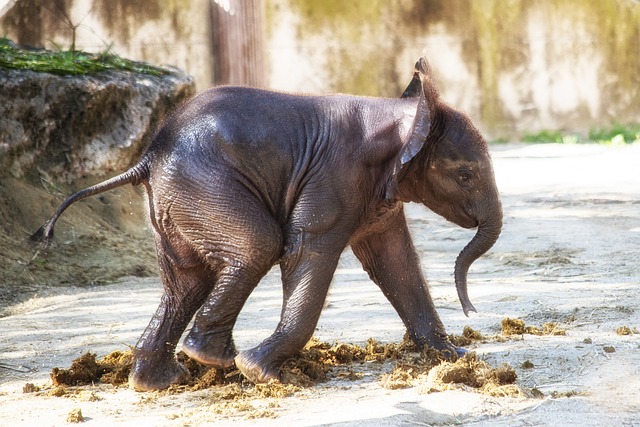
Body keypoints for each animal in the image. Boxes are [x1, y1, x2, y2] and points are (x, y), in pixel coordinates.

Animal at [32, 56, 502, 392]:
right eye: (466, 175)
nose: (472, 309)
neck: (403, 116)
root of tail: (148, 155)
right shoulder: (335, 175)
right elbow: (307, 250)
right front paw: (263, 374)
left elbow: (395, 261)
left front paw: (455, 358)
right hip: (204, 185)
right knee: (256, 245)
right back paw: (216, 360)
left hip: (176, 202)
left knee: (187, 278)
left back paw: (160, 381)